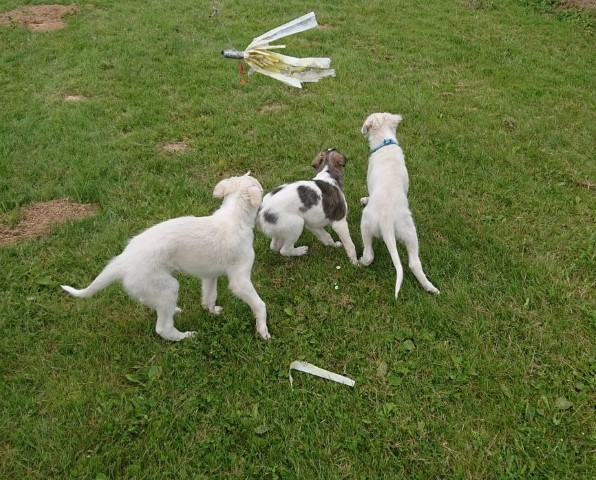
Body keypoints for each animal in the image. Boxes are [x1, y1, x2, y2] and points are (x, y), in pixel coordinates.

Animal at [61, 173, 270, 341]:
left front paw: (211, 311)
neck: (234, 218)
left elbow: (210, 296)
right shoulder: (240, 279)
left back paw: (174, 310)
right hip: (167, 286)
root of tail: (123, 260)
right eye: (261, 189)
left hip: (152, 287)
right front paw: (263, 330)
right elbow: (260, 304)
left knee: (147, 301)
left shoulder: (209, 274)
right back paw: (186, 336)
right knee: (163, 328)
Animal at [359, 113, 439, 299]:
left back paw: (359, 262)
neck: (385, 142)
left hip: (365, 224)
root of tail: (387, 223)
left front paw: (366, 199)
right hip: (409, 231)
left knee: (369, 255)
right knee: (414, 263)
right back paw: (430, 288)